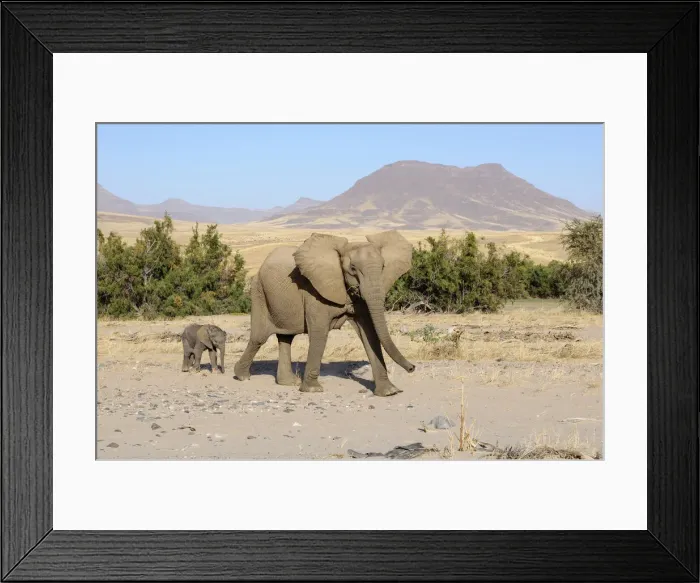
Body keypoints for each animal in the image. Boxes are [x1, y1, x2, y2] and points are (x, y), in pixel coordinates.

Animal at [233, 230, 416, 396]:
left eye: (383, 267)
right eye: (352, 268)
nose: (412, 368)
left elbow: (369, 333)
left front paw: (389, 392)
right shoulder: (314, 292)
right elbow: (319, 333)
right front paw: (313, 390)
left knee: (286, 338)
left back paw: (288, 383)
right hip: (259, 292)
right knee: (259, 338)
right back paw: (242, 376)